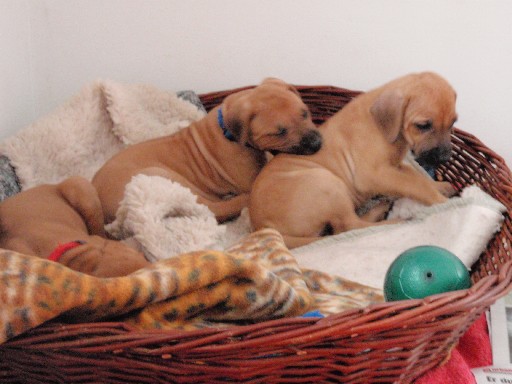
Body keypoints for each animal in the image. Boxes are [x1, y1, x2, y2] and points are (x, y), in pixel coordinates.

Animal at [93, 76, 320, 224]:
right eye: (279, 132)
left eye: (305, 113)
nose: (318, 143)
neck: (228, 130)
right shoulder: (248, 178)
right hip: (160, 176)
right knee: (213, 208)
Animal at [250, 70, 458, 248]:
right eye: (423, 125)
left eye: (453, 122)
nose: (445, 157)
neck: (384, 127)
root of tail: (263, 227)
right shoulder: (373, 175)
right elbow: (414, 184)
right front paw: (441, 201)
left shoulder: (396, 166)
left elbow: (418, 177)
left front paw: (440, 186)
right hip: (326, 183)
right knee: (349, 227)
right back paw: (392, 218)